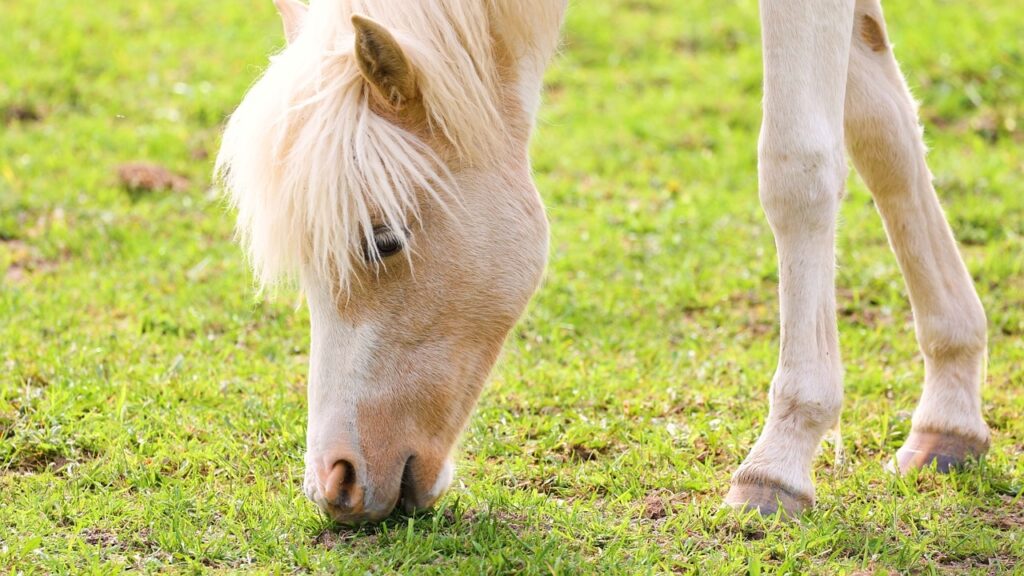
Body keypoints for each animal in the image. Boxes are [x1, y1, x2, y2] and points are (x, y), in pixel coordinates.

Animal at [215, 0, 989, 523]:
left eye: (382, 240)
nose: (335, 484)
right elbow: (884, 129)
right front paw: (951, 412)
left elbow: (798, 166)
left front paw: (780, 460)